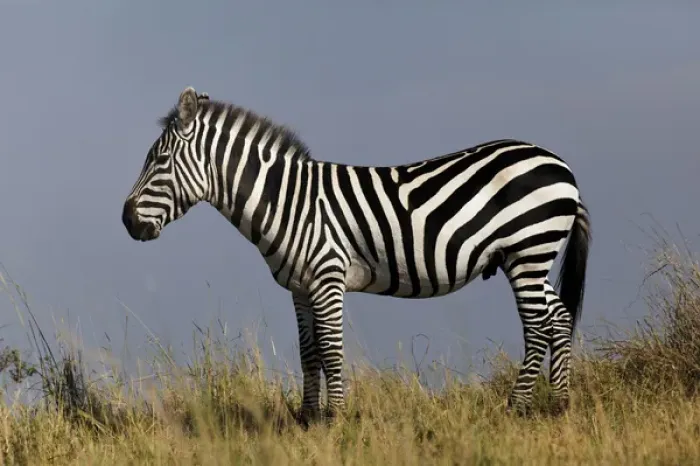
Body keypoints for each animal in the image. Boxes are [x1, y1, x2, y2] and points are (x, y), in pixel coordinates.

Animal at [122, 87, 591, 422]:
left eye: (159, 159)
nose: (127, 221)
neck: (287, 201)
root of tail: (560, 164)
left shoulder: (327, 276)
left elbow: (331, 349)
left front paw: (338, 419)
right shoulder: (300, 286)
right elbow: (308, 351)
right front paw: (308, 419)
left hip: (528, 250)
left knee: (537, 327)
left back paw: (518, 408)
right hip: (532, 257)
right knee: (559, 316)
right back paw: (559, 404)